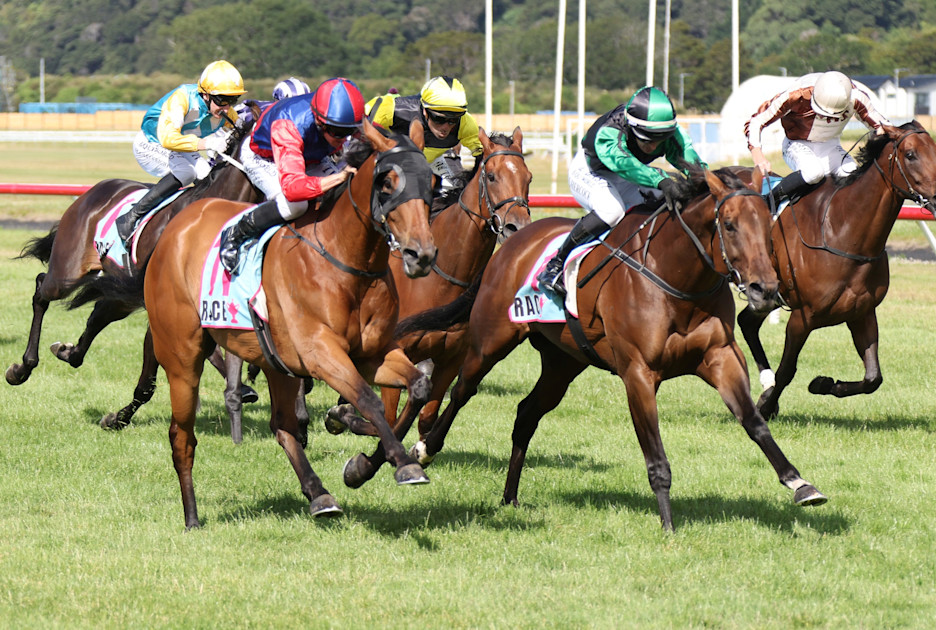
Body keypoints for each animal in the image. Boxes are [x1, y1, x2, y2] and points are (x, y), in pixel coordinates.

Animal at [5, 114, 261, 400]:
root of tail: (91, 192)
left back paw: (68, 353)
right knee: (42, 288)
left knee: (98, 315)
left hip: (122, 289)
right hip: (68, 273)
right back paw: (22, 368)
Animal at [102, 117, 438, 527]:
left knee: (282, 427)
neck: (345, 260)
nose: (421, 254)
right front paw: (402, 463)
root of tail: (174, 228)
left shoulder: (372, 355)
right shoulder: (321, 354)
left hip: (277, 363)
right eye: (387, 182)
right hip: (182, 359)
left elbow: (418, 386)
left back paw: (319, 495)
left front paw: (364, 463)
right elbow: (369, 399)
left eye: (432, 181)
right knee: (181, 436)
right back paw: (192, 516)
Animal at [323, 126, 532, 440]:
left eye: (528, 178)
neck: (441, 278)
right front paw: (342, 415)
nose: (516, 227)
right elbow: (388, 419)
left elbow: (425, 418)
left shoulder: (450, 360)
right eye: (492, 176)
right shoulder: (394, 352)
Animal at [351, 166, 829, 531]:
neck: (676, 278)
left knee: (526, 412)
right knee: (455, 392)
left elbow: (754, 422)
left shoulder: (720, 358)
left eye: (767, 226)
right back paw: (406, 454)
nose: (764, 289)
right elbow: (655, 455)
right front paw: (668, 524)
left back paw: (508, 496)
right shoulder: (639, 373)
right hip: (490, 341)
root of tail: (513, 244)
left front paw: (800, 483)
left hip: (563, 362)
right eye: (728, 225)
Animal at [736, 121, 936, 420]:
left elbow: (873, 378)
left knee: (746, 322)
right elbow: (787, 370)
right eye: (910, 155)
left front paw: (822, 384)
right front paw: (766, 405)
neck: (842, 231)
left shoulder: (862, 312)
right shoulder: (802, 317)